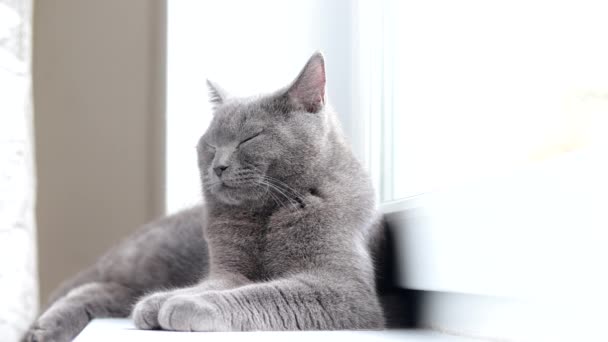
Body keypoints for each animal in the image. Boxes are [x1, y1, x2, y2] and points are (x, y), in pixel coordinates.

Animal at [25, 51, 384, 342]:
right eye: (211, 144)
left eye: (250, 137)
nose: (219, 165)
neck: (266, 215)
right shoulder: (227, 269)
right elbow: (215, 284)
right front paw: (164, 301)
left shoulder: (341, 288)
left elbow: (264, 294)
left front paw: (181, 302)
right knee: (92, 285)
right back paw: (47, 326)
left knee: (105, 289)